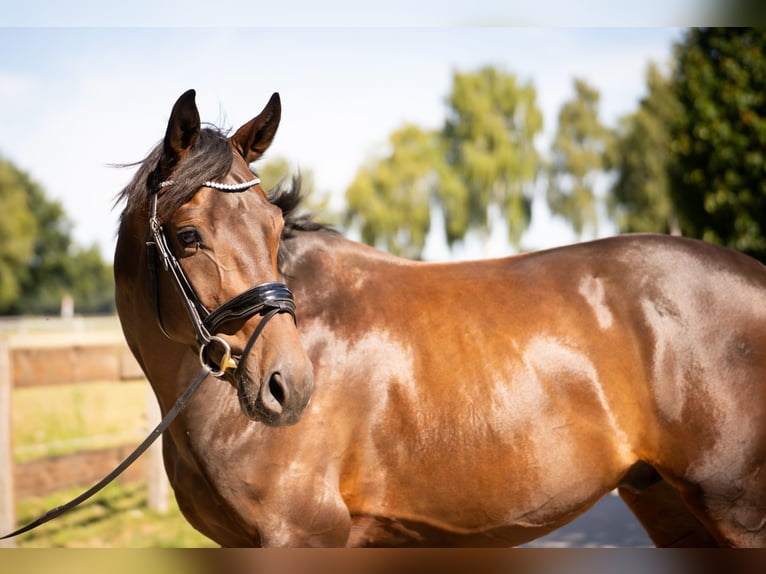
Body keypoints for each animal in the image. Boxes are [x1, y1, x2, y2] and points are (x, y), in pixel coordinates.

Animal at [115, 90, 766, 547]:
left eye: (275, 228)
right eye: (189, 236)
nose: (289, 385)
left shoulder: (304, 533)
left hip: (736, 510)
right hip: (669, 504)